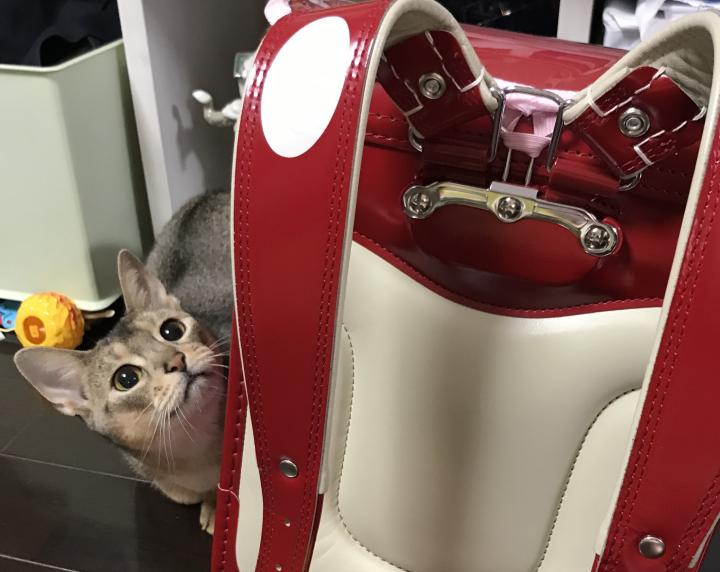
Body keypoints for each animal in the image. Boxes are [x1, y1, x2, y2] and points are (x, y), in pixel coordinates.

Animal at [14, 190, 232, 535]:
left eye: (172, 330)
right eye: (126, 379)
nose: (177, 360)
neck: (195, 451)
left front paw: (216, 505)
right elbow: (181, 493)